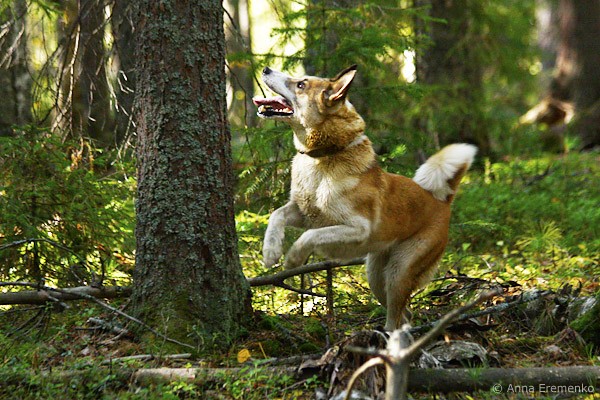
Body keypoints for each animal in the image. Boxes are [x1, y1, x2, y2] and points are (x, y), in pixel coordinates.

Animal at [253, 65, 476, 331]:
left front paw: (294, 258)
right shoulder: (303, 212)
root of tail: (442, 201)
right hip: (376, 276)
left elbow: (310, 236)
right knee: (405, 313)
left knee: (397, 314)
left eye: (301, 85)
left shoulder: (357, 228)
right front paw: (270, 252)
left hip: (399, 271)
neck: (324, 158)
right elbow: (276, 215)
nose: (266, 69)